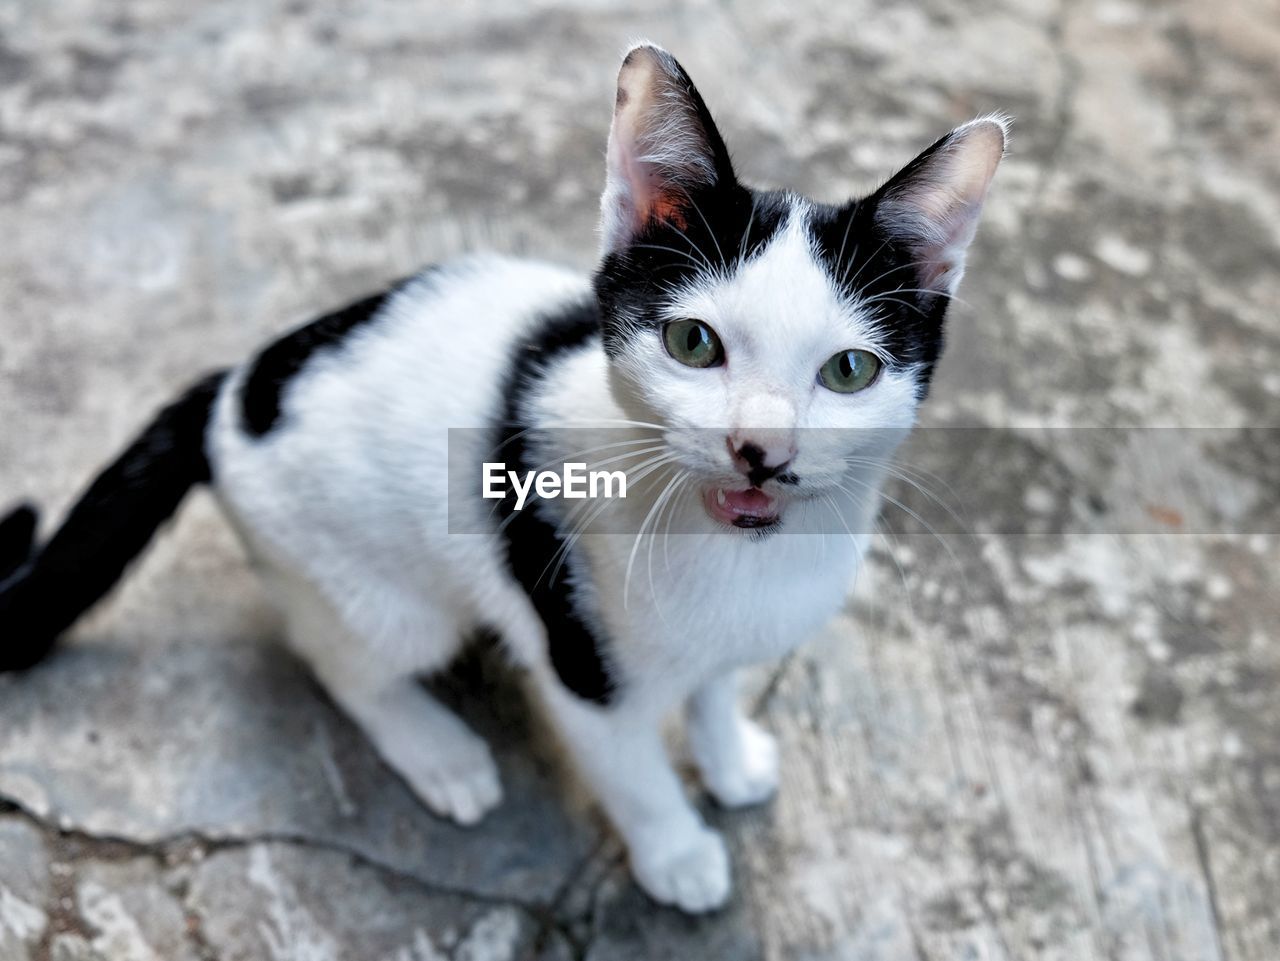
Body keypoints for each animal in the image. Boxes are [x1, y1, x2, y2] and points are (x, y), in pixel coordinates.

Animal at [0, 47, 1003, 916]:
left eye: (849, 370)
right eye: (693, 343)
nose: (761, 447)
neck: (743, 557)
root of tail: (235, 385)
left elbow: (715, 687)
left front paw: (726, 755)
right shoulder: (578, 654)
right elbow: (634, 772)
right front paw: (677, 853)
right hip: (373, 592)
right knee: (336, 659)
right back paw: (436, 750)